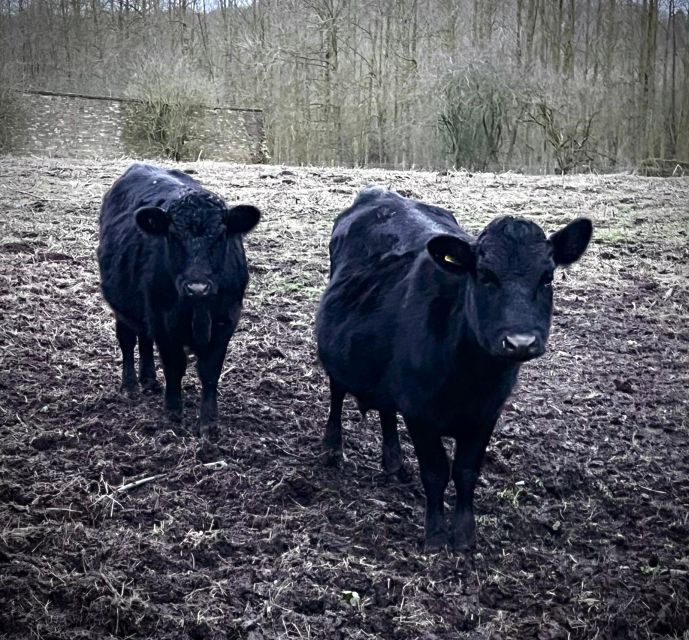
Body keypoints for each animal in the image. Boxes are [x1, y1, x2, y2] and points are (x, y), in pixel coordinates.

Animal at [98, 163, 260, 438]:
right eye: (173, 236)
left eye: (221, 236)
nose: (197, 287)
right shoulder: (164, 320)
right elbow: (174, 366)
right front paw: (173, 413)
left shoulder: (226, 320)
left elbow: (210, 371)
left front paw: (209, 421)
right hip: (123, 306)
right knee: (128, 340)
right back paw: (130, 385)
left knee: (145, 338)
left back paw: (149, 380)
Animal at [315, 186, 592, 552]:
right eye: (485, 275)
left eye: (546, 277)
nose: (520, 342)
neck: (471, 377)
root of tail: (379, 193)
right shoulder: (419, 413)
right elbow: (435, 472)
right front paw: (435, 536)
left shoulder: (486, 414)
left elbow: (465, 471)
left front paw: (464, 535)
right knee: (337, 391)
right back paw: (333, 447)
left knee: (386, 410)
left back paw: (393, 461)